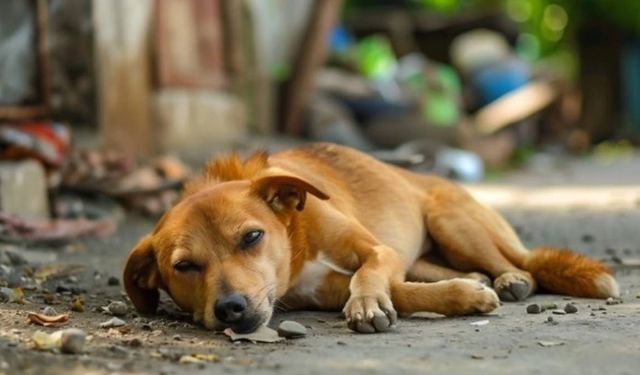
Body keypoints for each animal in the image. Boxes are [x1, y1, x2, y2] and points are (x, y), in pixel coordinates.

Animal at [122, 144, 616, 334]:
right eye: (184, 267)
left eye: (252, 237)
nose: (231, 309)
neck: (297, 241)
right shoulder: (320, 290)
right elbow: (403, 291)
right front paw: (463, 295)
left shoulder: (377, 250)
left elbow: (370, 275)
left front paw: (366, 305)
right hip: (428, 250)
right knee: (440, 269)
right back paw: (476, 279)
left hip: (452, 221)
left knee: (517, 262)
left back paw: (511, 278)